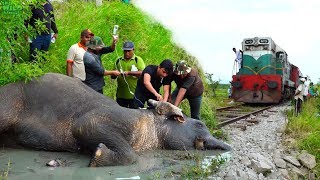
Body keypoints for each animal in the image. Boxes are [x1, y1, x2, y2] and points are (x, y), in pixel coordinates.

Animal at [0, 72, 230, 167]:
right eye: (200, 123)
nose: (228, 146)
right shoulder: (108, 118)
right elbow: (88, 126)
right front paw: (98, 155)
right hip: (9, 103)